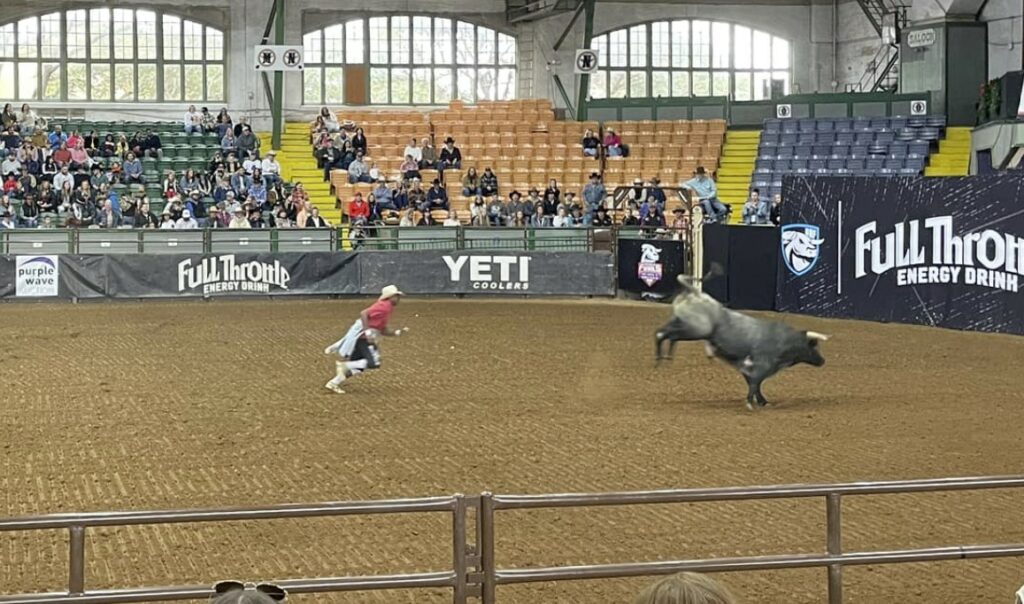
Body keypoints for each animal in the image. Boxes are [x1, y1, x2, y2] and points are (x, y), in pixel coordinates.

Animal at [655, 276, 831, 409]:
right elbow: (755, 383)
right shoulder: (762, 366)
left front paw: (762, 402)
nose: (823, 361)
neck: (784, 340)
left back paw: (662, 358)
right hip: (696, 329)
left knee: (663, 334)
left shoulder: (747, 367)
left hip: (681, 323)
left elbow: (754, 384)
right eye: (813, 347)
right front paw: (751, 403)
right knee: (666, 335)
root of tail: (695, 293)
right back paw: (663, 358)